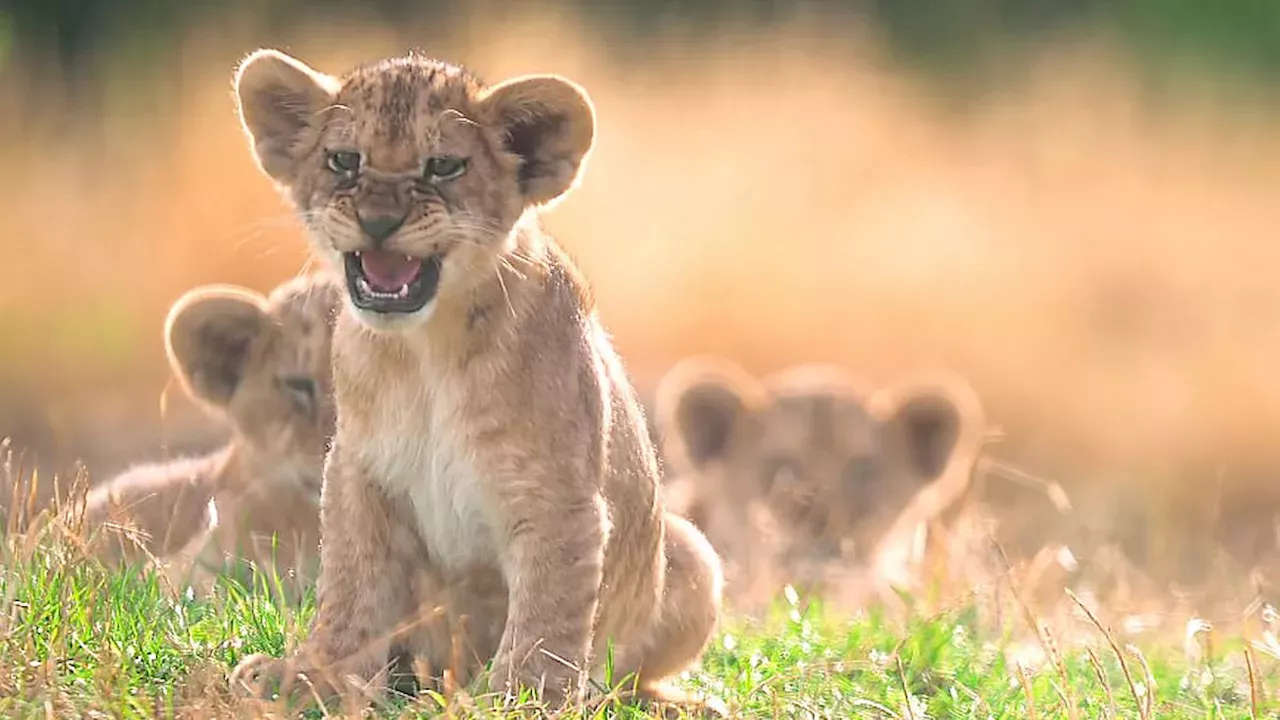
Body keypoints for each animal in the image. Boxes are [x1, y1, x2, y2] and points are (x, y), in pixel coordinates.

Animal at [226, 49, 724, 715]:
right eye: (344, 160)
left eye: (443, 166)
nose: (378, 220)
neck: (425, 352)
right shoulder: (358, 471)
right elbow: (351, 590)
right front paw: (311, 677)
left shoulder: (558, 495)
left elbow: (547, 617)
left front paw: (522, 700)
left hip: (692, 551)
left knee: (629, 675)